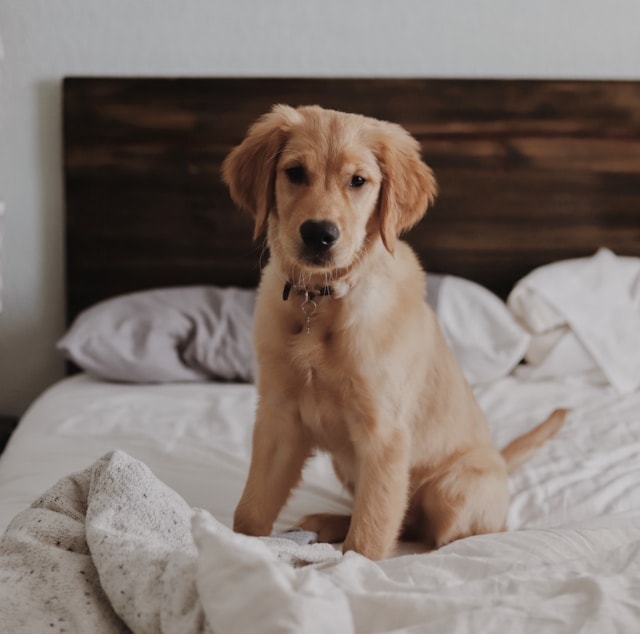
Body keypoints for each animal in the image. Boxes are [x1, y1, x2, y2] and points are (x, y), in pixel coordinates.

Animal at [221, 103, 564, 556]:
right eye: (294, 172)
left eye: (358, 181)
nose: (319, 234)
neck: (322, 301)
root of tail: (501, 461)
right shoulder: (278, 416)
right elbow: (253, 506)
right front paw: (237, 547)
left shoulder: (383, 431)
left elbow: (371, 528)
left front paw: (350, 563)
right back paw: (328, 522)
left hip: (454, 489)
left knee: (433, 531)